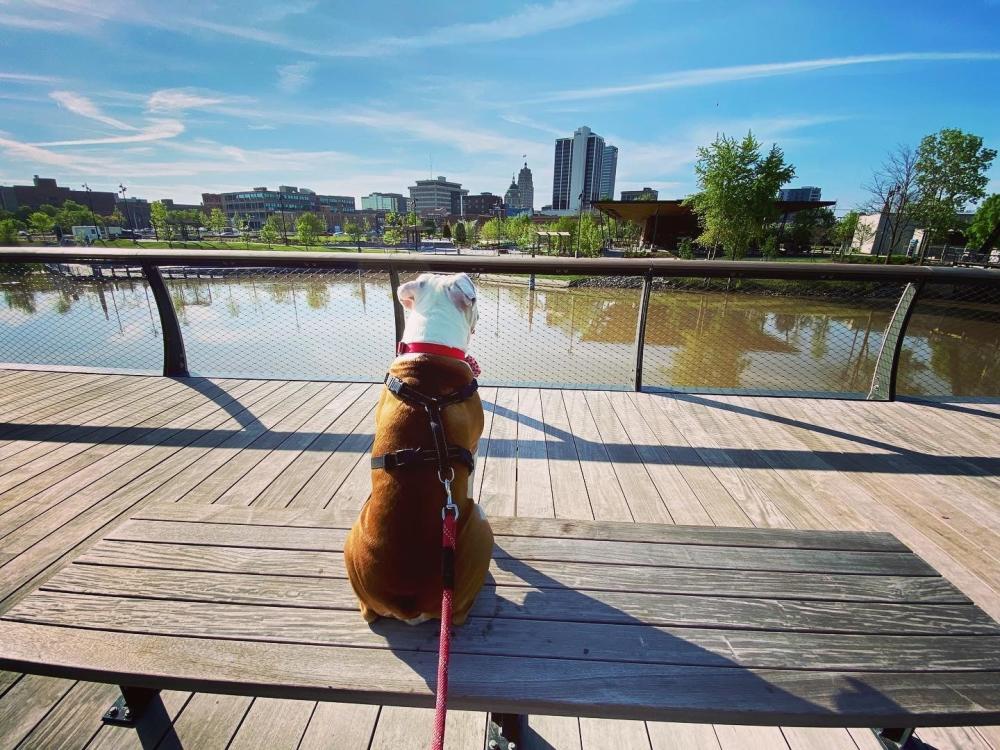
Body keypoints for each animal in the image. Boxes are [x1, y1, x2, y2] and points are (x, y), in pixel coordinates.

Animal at [346, 274, 494, 624]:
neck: (430, 348)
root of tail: (407, 604)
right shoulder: (475, 446)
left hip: (351, 539)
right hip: (481, 528)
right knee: (459, 614)